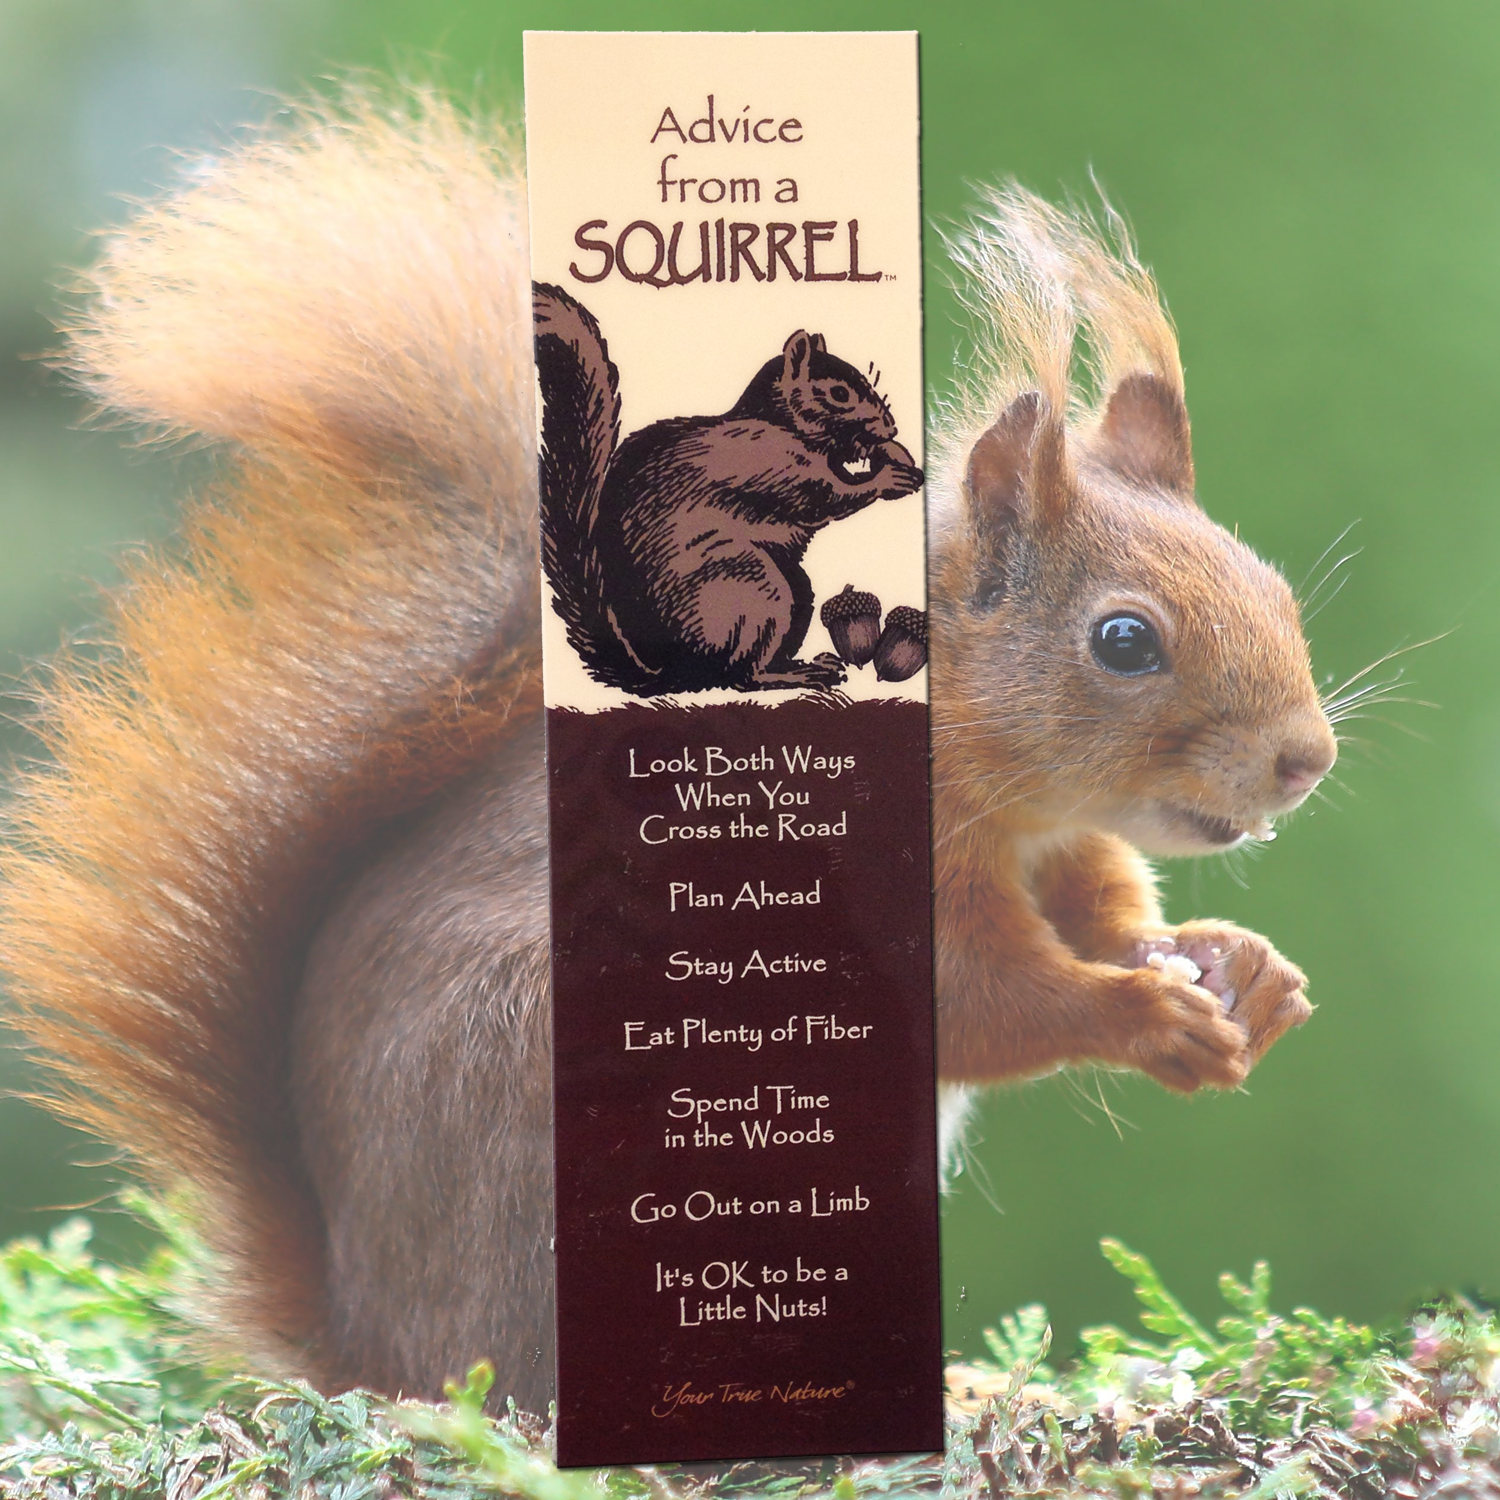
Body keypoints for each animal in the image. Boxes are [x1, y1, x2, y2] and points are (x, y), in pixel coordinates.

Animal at [0, 92, 1337, 1415]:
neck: (1003, 797)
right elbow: (981, 1000)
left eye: (1272, 585)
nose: (1306, 760)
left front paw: (1241, 968)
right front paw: (1143, 1014)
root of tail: (372, 1344)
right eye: (1126, 641)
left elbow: (1108, 916)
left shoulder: (1062, 846)